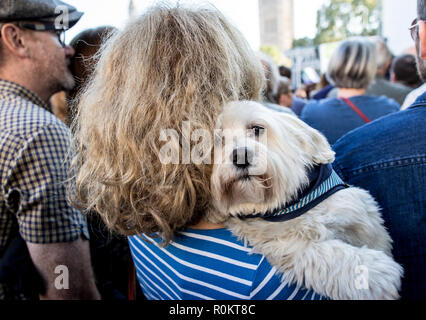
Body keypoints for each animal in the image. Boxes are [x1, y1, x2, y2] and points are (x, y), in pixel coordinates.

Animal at [210, 100, 402, 300]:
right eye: (218, 140)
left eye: (256, 128)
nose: (240, 156)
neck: (292, 206)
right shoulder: (280, 243)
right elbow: (322, 253)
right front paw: (373, 272)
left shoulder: (360, 213)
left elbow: (375, 237)